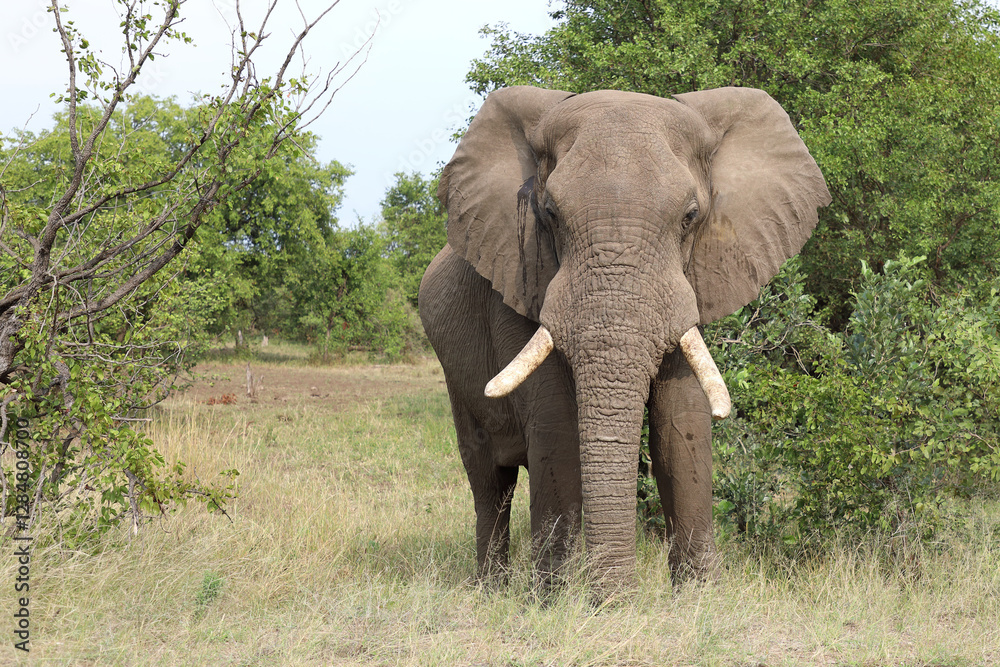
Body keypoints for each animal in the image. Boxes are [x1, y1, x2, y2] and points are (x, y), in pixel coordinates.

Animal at [418, 85, 830, 589]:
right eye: (550, 214)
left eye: (691, 217)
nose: (623, 595)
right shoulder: (521, 278)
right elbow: (557, 427)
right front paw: (557, 599)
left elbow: (681, 427)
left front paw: (699, 595)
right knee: (490, 480)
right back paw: (491, 590)